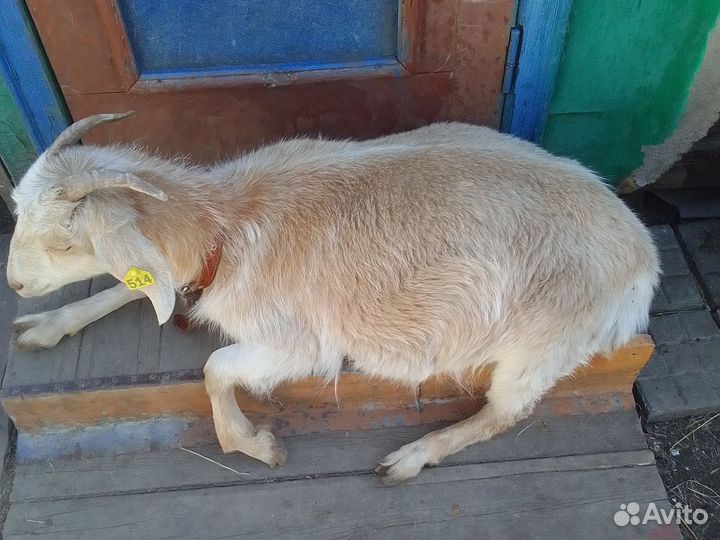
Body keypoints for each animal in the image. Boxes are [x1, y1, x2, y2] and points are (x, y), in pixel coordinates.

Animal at [6, 113, 659, 484]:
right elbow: (132, 285)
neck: (225, 224)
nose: (13, 284)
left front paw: (255, 445)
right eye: (16, 211)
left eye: (66, 243)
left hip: (542, 341)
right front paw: (47, 323)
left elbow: (215, 368)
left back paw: (410, 457)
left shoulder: (300, 343)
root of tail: (643, 252)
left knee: (507, 412)